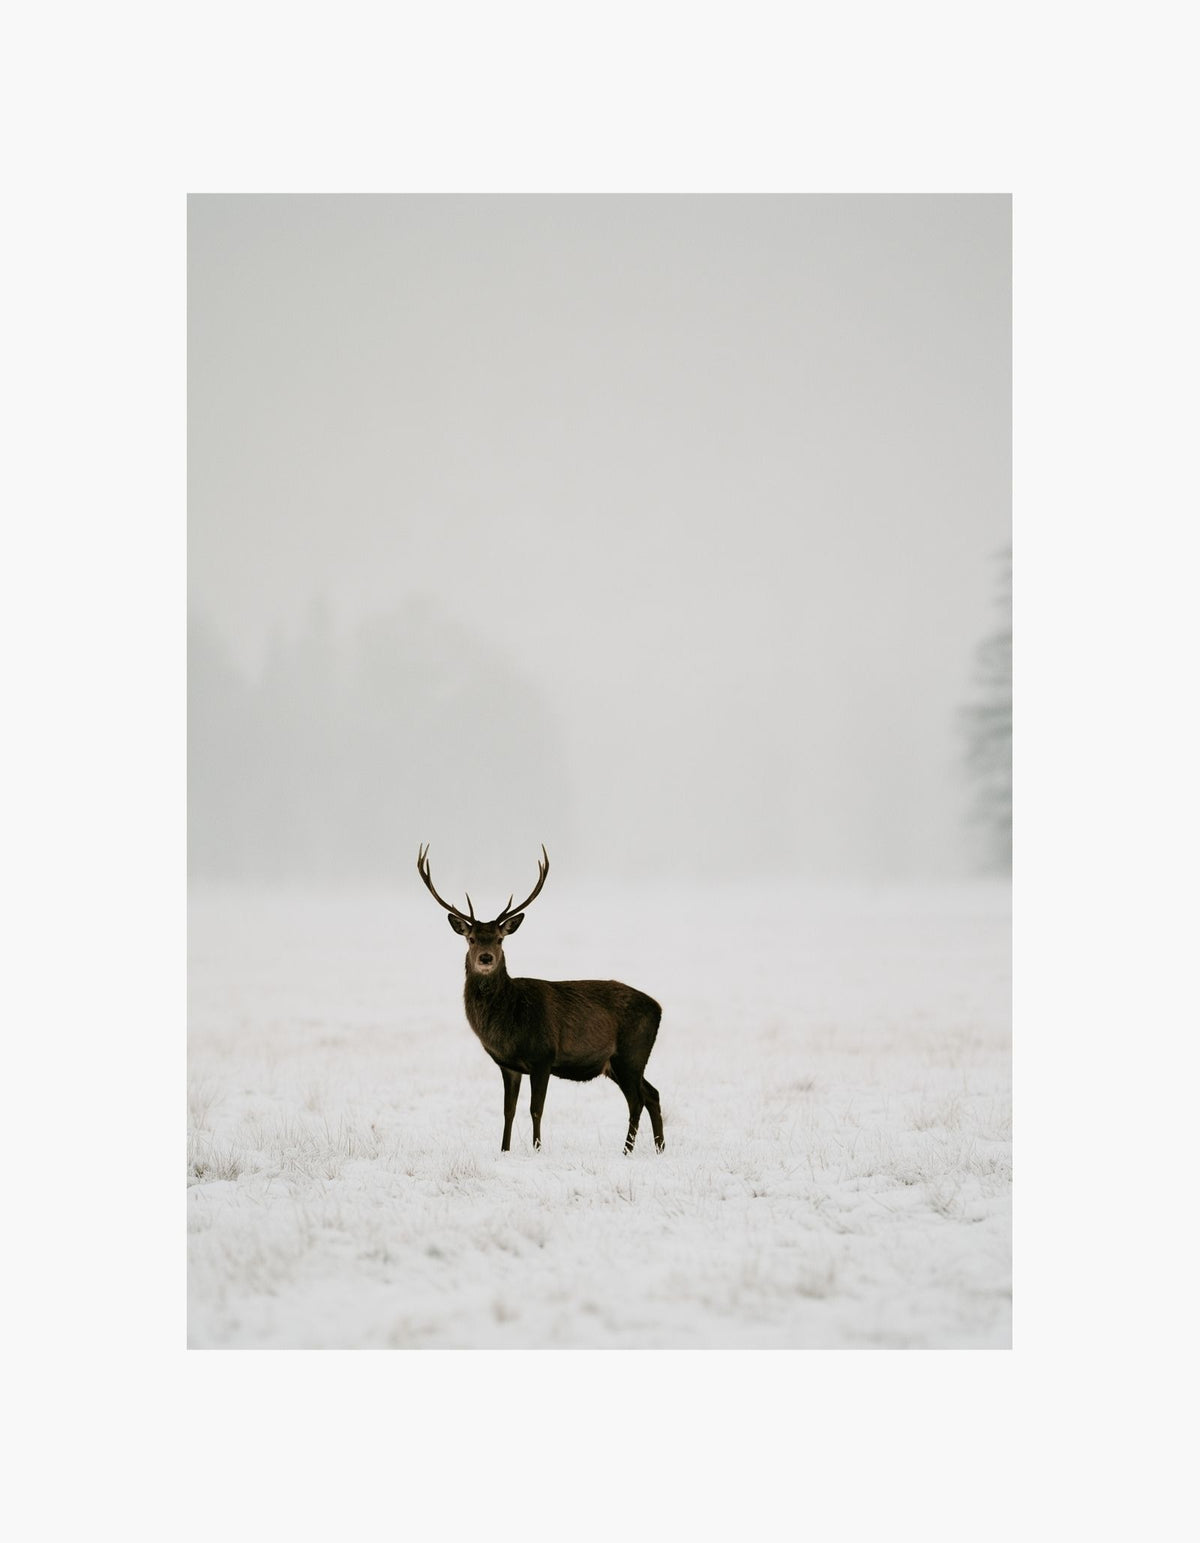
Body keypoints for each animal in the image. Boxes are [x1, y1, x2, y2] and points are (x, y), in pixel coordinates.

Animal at [417, 844, 665, 1155]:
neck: (509, 1021)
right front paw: (504, 1150)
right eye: (471, 938)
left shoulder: (543, 1055)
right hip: (619, 1063)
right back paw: (660, 1148)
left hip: (631, 1053)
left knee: (637, 1101)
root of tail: (659, 1008)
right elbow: (508, 1110)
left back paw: (627, 1151)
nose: (485, 958)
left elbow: (536, 1109)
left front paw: (536, 1149)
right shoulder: (508, 1065)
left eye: (499, 939)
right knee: (653, 1094)